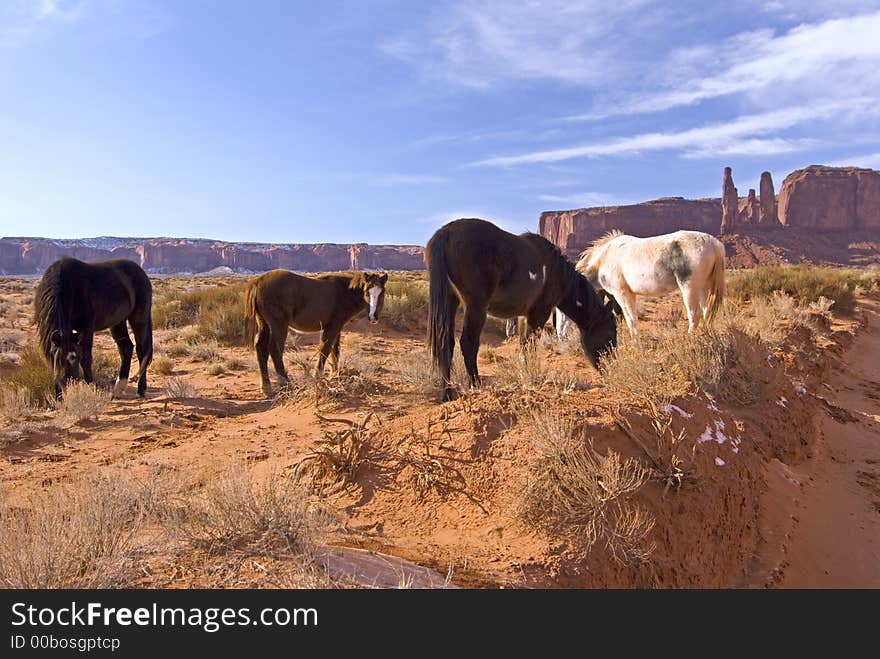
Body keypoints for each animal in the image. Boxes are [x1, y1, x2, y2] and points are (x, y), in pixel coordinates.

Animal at [34, 256, 153, 398]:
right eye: (57, 357)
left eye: (74, 357)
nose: (70, 382)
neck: (67, 287)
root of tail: (142, 273)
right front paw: (58, 398)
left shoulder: (86, 328)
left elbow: (86, 359)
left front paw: (90, 387)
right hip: (118, 322)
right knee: (126, 348)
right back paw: (118, 389)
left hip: (139, 318)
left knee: (142, 351)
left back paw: (140, 390)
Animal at [246, 270, 386, 398]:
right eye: (367, 292)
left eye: (382, 293)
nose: (373, 317)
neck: (344, 292)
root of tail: (258, 281)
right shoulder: (332, 327)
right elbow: (325, 349)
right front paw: (317, 378)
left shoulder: (337, 327)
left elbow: (335, 351)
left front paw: (335, 375)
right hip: (278, 325)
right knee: (275, 350)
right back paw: (286, 384)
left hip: (264, 324)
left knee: (261, 349)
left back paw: (266, 388)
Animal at [426, 220, 620, 402]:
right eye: (610, 332)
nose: (612, 366)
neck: (559, 274)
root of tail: (447, 232)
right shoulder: (539, 314)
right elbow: (529, 346)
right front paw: (531, 377)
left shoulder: (523, 317)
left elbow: (523, 344)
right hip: (476, 307)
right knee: (468, 343)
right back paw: (476, 387)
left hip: (451, 302)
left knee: (446, 344)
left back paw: (448, 393)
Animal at [576, 231, 724, 336]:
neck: (603, 259)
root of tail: (713, 243)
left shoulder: (622, 293)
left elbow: (631, 320)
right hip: (705, 287)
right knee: (706, 311)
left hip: (690, 288)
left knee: (694, 315)